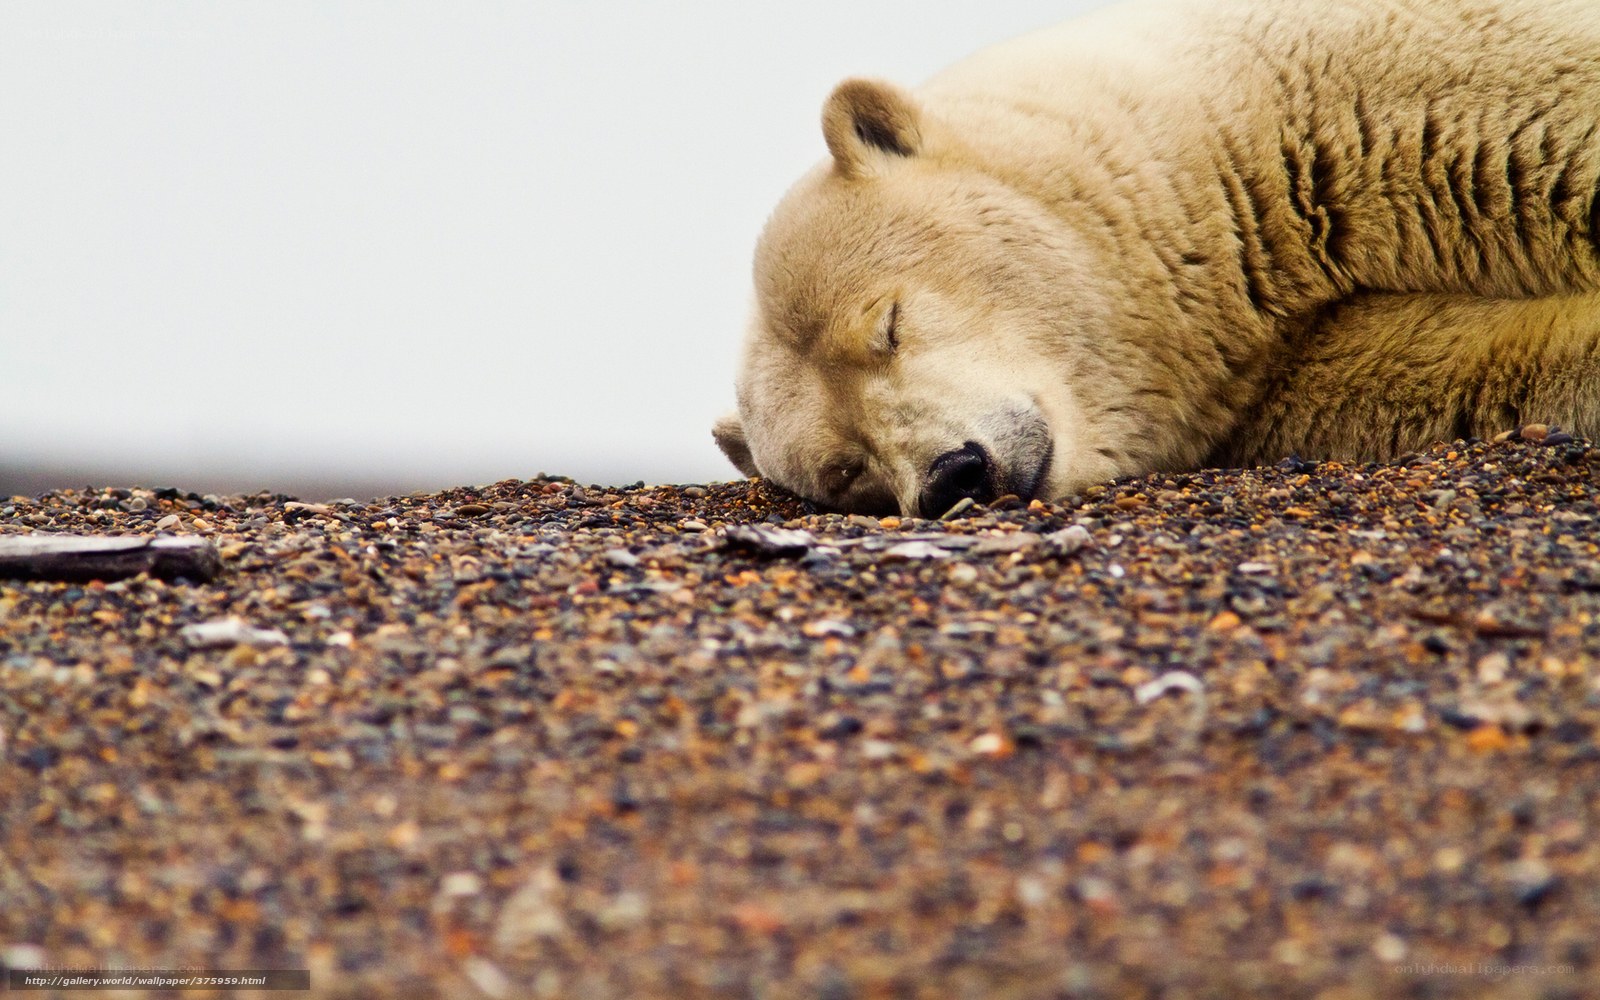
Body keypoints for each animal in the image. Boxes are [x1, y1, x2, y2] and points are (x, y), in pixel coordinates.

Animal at [712, 0, 1600, 518]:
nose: (952, 475)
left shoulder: (1401, 79)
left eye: (887, 324)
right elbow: (1463, 364)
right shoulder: (1279, 373)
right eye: (844, 471)